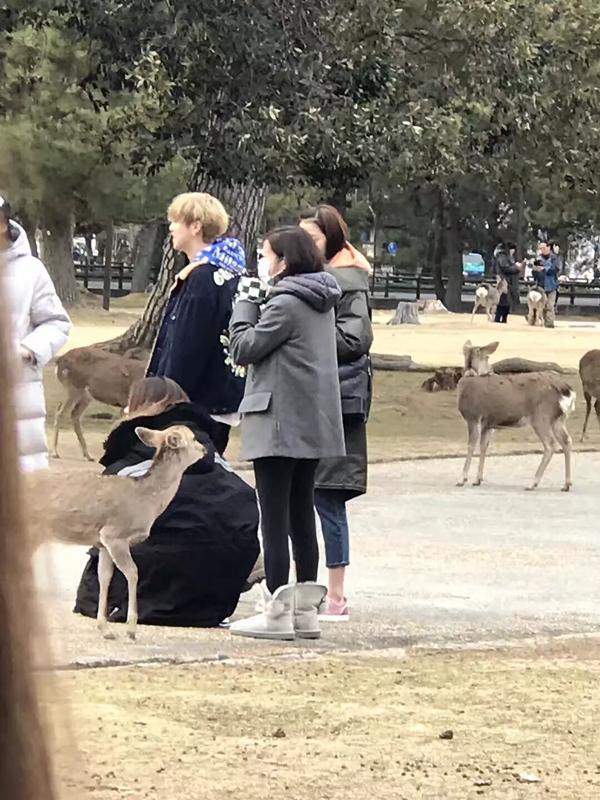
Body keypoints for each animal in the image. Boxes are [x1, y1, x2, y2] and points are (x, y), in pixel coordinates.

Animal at [27, 425, 206, 640]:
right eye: (193, 438)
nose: (204, 449)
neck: (146, 501)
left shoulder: (102, 544)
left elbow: (105, 576)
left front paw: (105, 629)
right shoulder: (115, 535)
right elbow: (133, 572)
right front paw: (131, 629)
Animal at [457, 341, 576, 491]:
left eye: (487, 357)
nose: (490, 371)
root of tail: (568, 391)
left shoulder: (473, 417)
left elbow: (471, 446)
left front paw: (462, 479)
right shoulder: (488, 424)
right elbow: (484, 446)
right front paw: (477, 479)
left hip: (541, 416)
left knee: (550, 444)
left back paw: (533, 483)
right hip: (558, 419)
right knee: (567, 440)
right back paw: (566, 484)